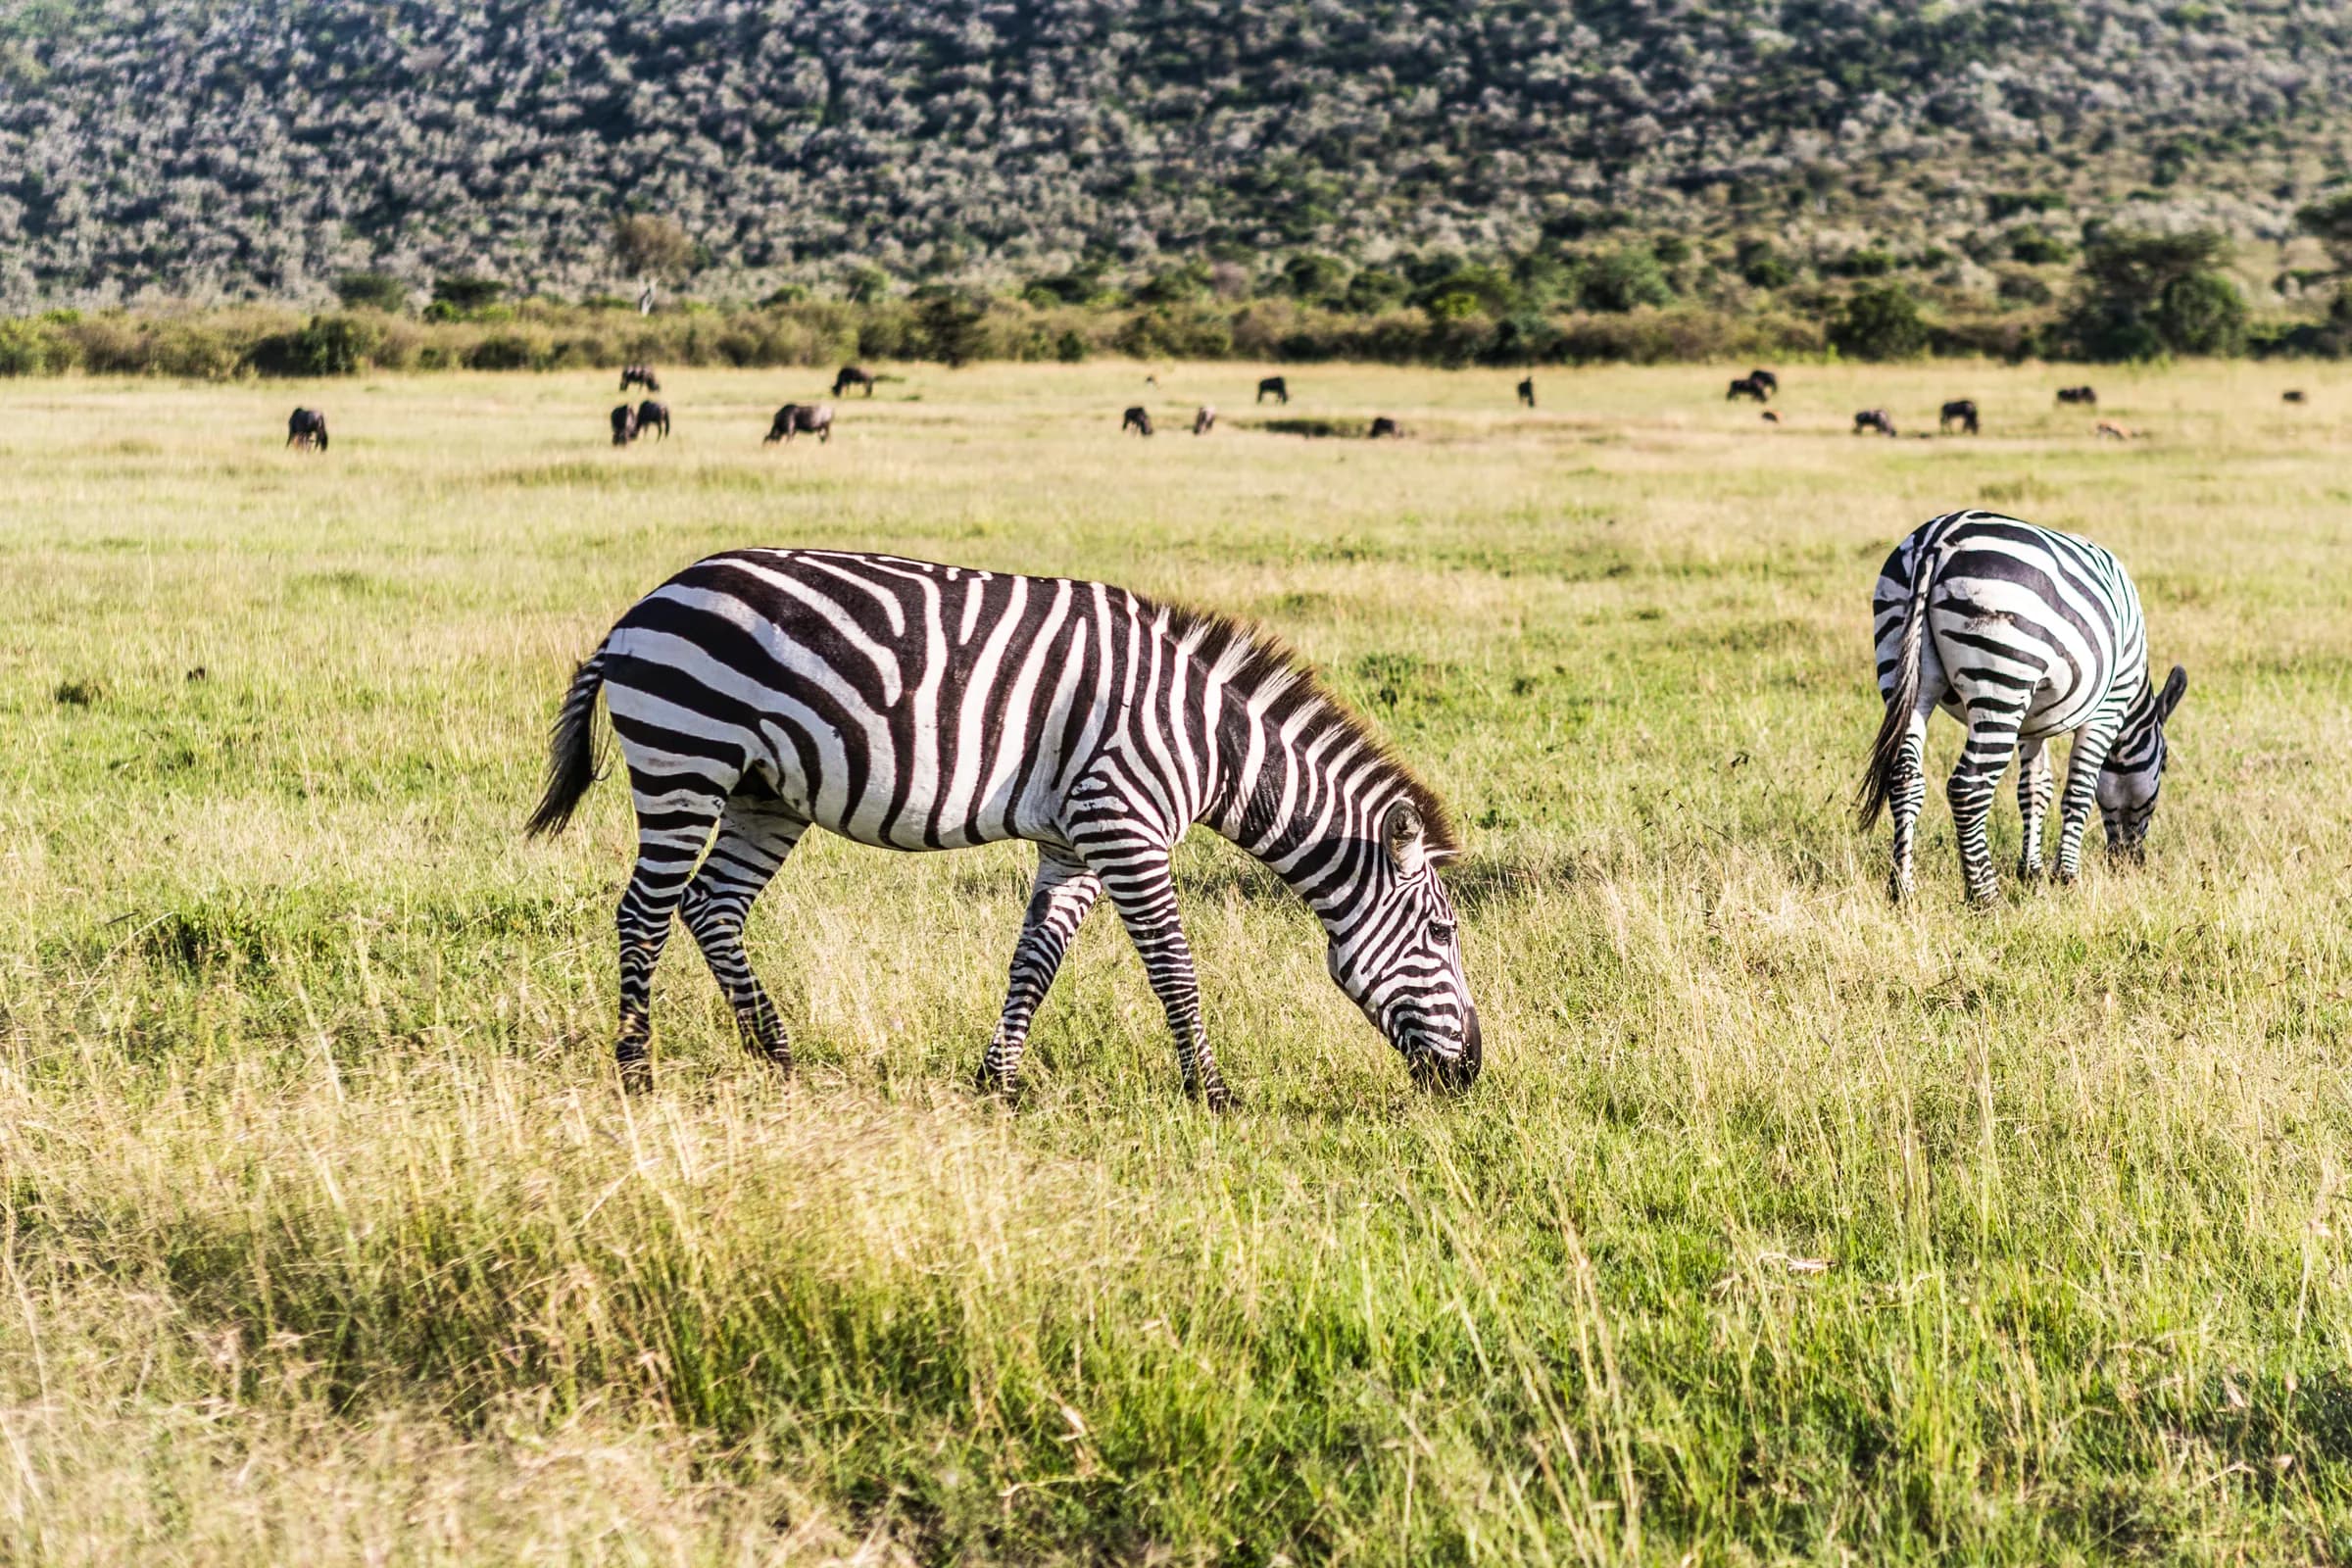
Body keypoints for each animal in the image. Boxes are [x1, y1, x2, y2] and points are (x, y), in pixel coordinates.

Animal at [525, 549, 1483, 1104]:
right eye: (1442, 934)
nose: (1472, 1073)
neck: (1210, 743)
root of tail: (642, 606)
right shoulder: (1125, 826)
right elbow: (1175, 971)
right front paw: (1213, 1094)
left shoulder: (1076, 842)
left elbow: (1037, 960)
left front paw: (1000, 1083)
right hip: (686, 758)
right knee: (645, 913)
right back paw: (637, 1071)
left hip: (766, 791)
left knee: (711, 907)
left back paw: (779, 1055)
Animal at [1856, 510, 2187, 905]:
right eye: (2163, 765)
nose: (2130, 863)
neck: (2134, 703)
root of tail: (1935, 540)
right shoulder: (2107, 710)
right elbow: (2079, 791)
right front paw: (2066, 877)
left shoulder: (2033, 721)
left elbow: (2035, 789)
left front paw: (2032, 872)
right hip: (2000, 679)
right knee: (1968, 787)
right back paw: (1986, 898)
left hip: (1904, 670)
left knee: (1905, 776)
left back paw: (1903, 891)